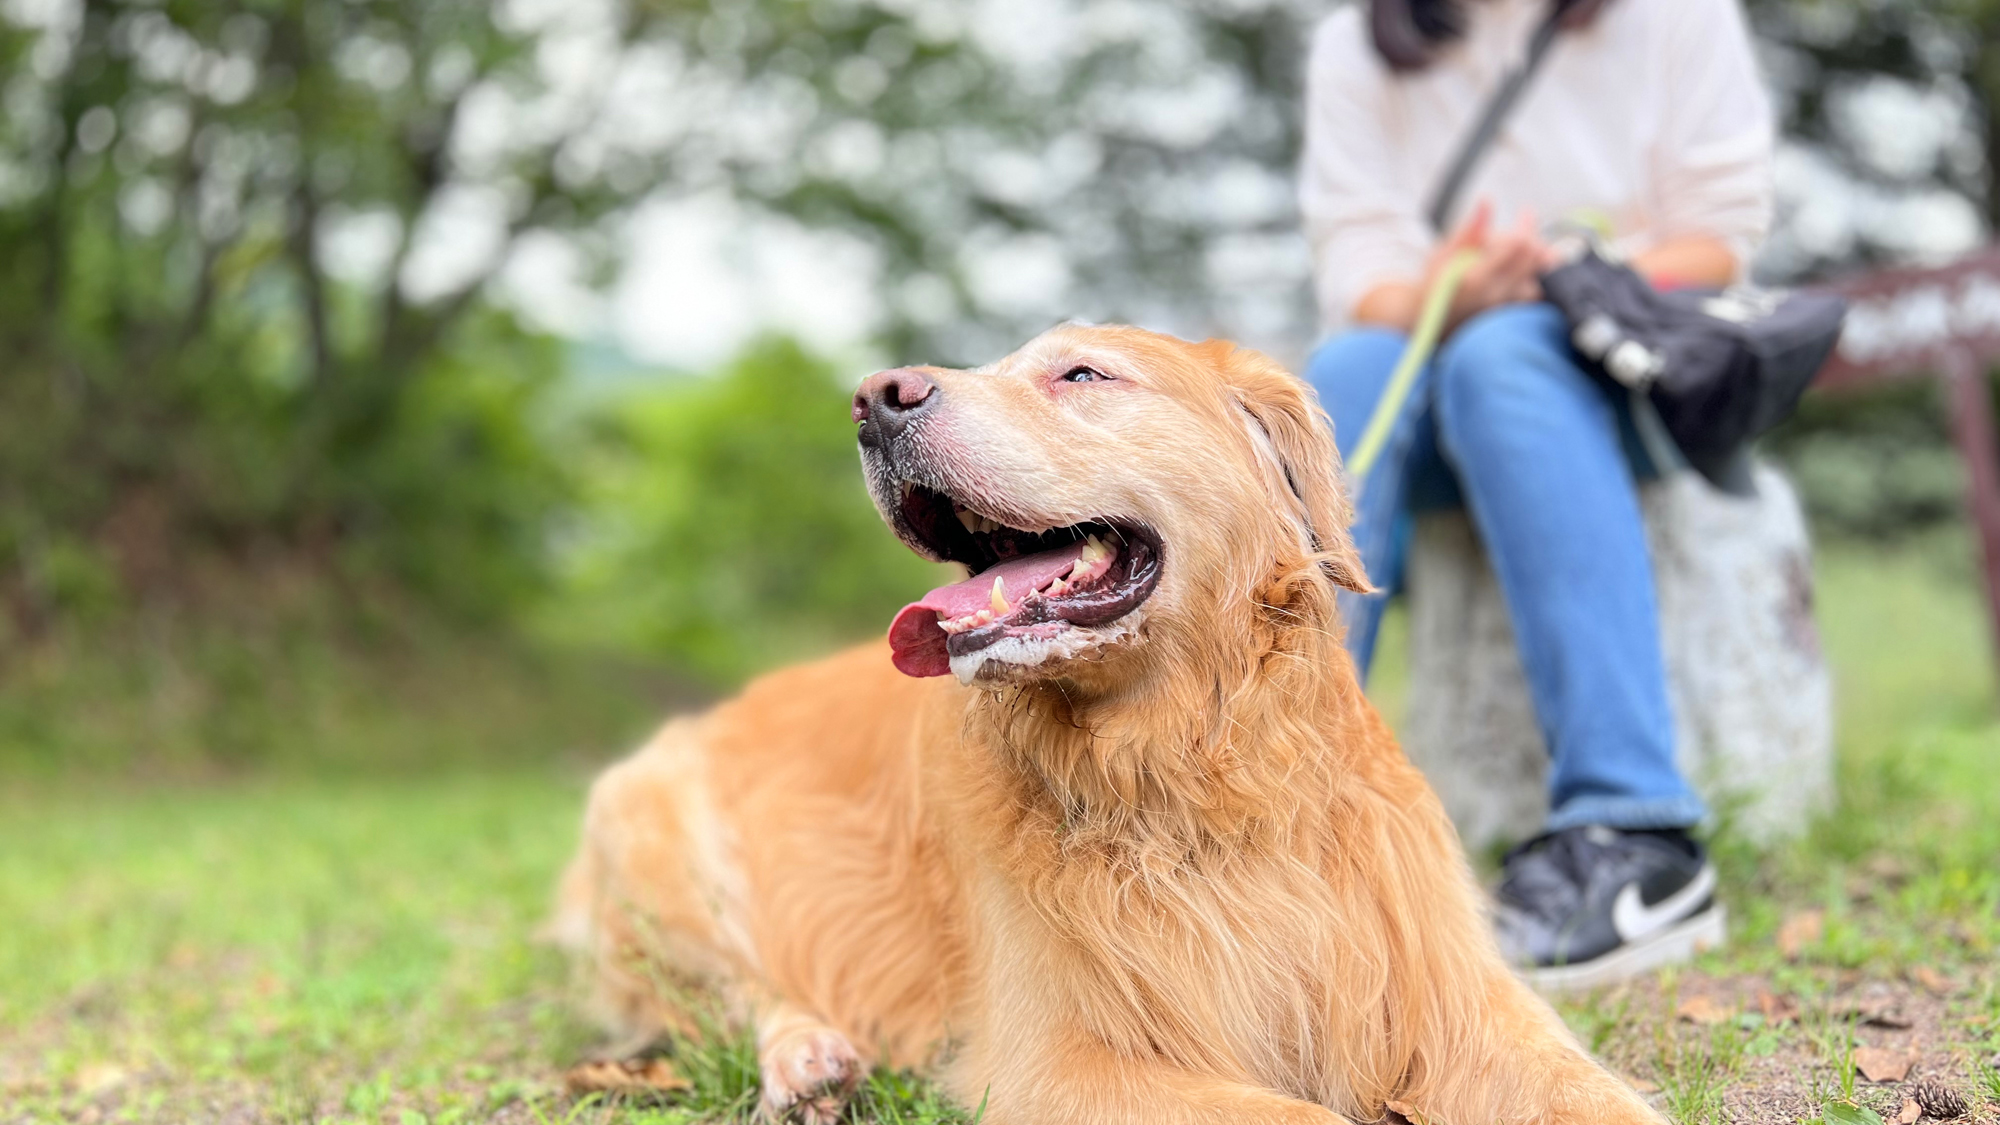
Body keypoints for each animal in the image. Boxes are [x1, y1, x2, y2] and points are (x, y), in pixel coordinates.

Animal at [556, 322, 1664, 1120]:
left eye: (1082, 374)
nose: (874, 398)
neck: (1196, 771)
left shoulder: (1455, 999)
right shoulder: (1058, 1058)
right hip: (653, 839)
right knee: (734, 992)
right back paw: (808, 1057)